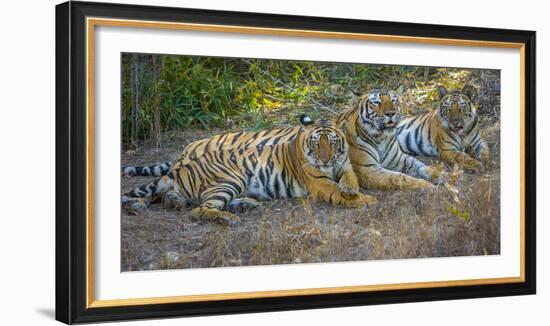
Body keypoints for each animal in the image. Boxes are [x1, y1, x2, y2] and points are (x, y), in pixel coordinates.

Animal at [122, 116, 378, 225]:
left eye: (332, 142)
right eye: (316, 143)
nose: (324, 159)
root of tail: (184, 161)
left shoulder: (345, 166)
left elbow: (350, 179)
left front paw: (351, 189)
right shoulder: (320, 183)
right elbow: (339, 192)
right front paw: (367, 200)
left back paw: (246, 205)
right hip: (229, 179)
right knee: (199, 209)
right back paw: (230, 218)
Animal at [123, 88, 442, 192]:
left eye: (394, 100)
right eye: (376, 103)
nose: (390, 113)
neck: (382, 137)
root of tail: (187, 147)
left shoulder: (401, 158)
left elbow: (421, 166)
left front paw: (442, 176)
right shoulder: (368, 171)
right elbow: (400, 178)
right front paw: (427, 187)